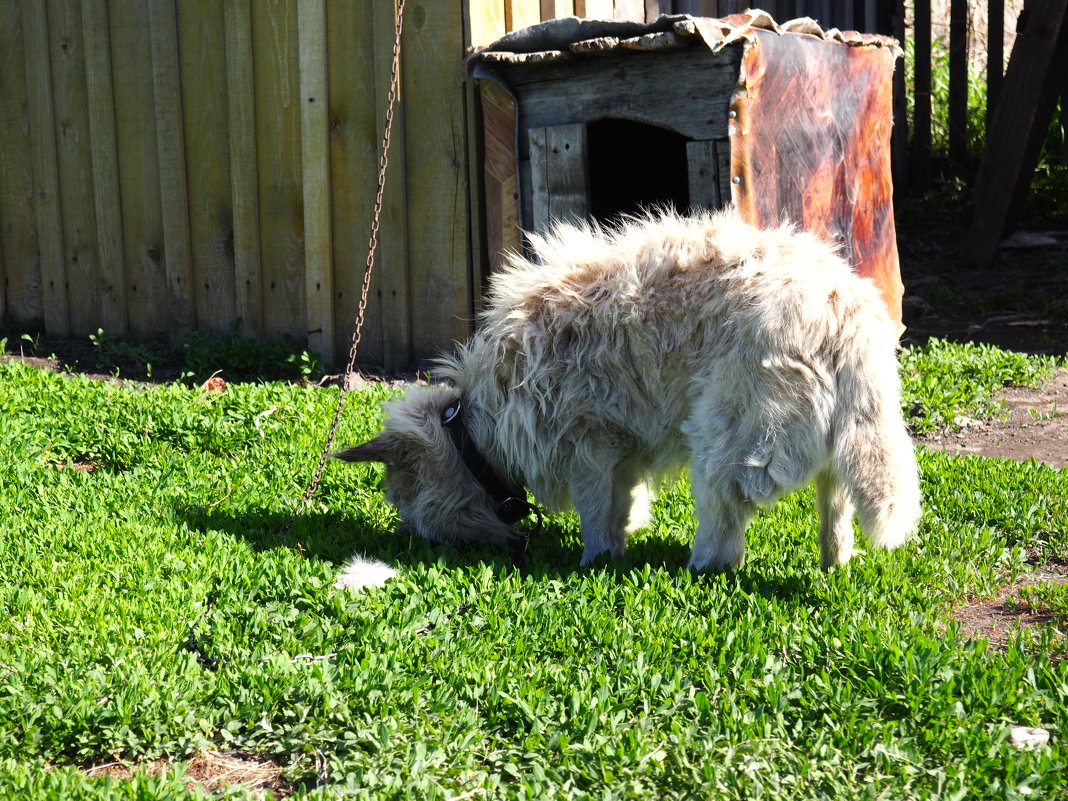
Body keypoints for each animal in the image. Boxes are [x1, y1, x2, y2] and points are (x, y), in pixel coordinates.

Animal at [333, 207, 918, 572]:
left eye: (400, 493)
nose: (412, 540)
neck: (481, 425)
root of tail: (844, 311)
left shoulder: (586, 443)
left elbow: (596, 511)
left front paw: (595, 560)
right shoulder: (620, 446)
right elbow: (623, 502)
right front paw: (621, 540)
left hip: (731, 437)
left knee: (725, 516)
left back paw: (701, 565)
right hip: (841, 438)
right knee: (834, 503)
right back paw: (833, 561)